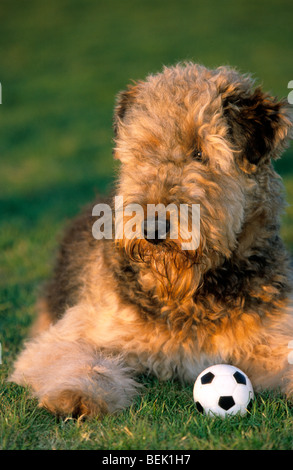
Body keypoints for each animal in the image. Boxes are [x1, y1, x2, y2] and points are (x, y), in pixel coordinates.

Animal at [9, 63, 292, 418]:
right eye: (144, 151)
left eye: (200, 153)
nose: (153, 228)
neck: (189, 296)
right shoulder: (72, 335)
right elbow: (81, 361)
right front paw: (77, 395)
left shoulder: (276, 339)